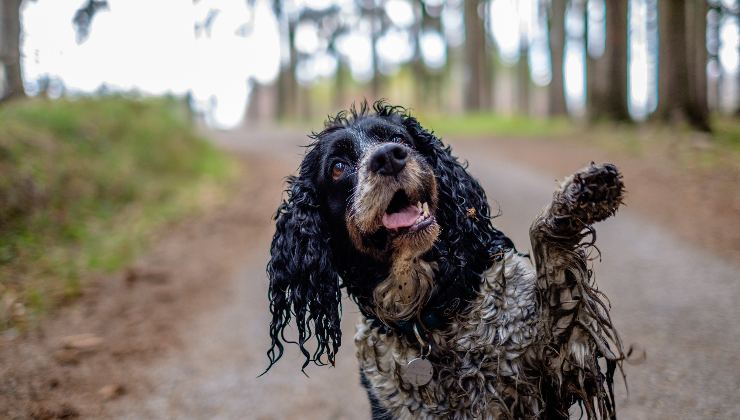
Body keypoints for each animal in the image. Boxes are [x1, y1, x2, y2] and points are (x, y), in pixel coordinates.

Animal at [266, 102, 624, 420]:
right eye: (338, 167)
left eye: (399, 139)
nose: (389, 157)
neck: (431, 317)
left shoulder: (561, 364)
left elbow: (547, 249)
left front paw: (583, 194)